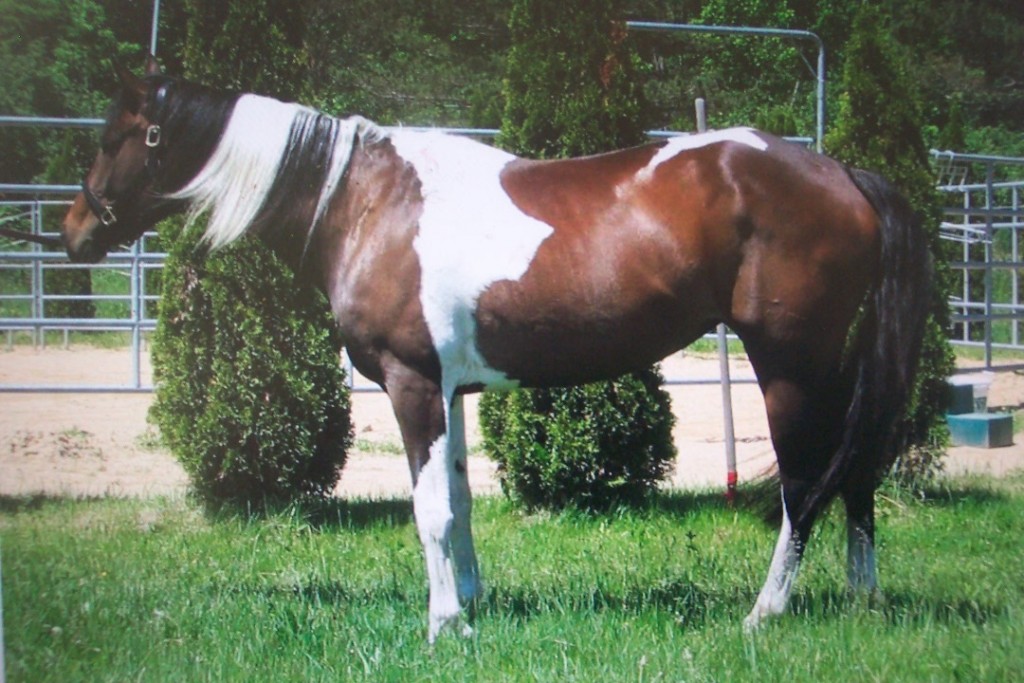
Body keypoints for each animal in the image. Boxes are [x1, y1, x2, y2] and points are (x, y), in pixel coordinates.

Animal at [62, 58, 930, 642]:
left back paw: (764, 611)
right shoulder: (448, 390)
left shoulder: (412, 382)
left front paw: (445, 624)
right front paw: (473, 601)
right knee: (857, 471)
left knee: (806, 483)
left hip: (788, 364)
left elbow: (430, 508)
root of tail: (842, 172)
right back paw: (864, 600)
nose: (71, 233)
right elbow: (461, 498)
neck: (364, 203)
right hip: (827, 366)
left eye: (112, 138)